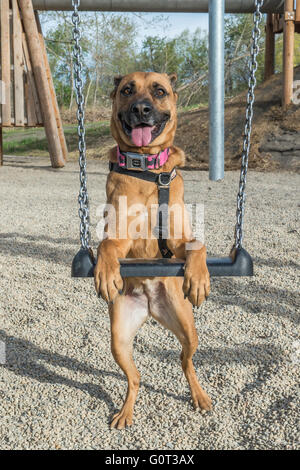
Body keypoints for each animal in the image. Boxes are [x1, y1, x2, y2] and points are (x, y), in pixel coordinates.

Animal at [94, 71, 211, 428]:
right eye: (127, 90)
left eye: (159, 91)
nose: (141, 109)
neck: (147, 169)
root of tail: (149, 303)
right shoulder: (119, 236)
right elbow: (106, 244)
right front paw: (105, 274)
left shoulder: (179, 238)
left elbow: (197, 244)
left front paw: (198, 279)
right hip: (118, 339)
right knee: (135, 378)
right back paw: (125, 412)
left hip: (188, 329)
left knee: (186, 362)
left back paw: (199, 396)